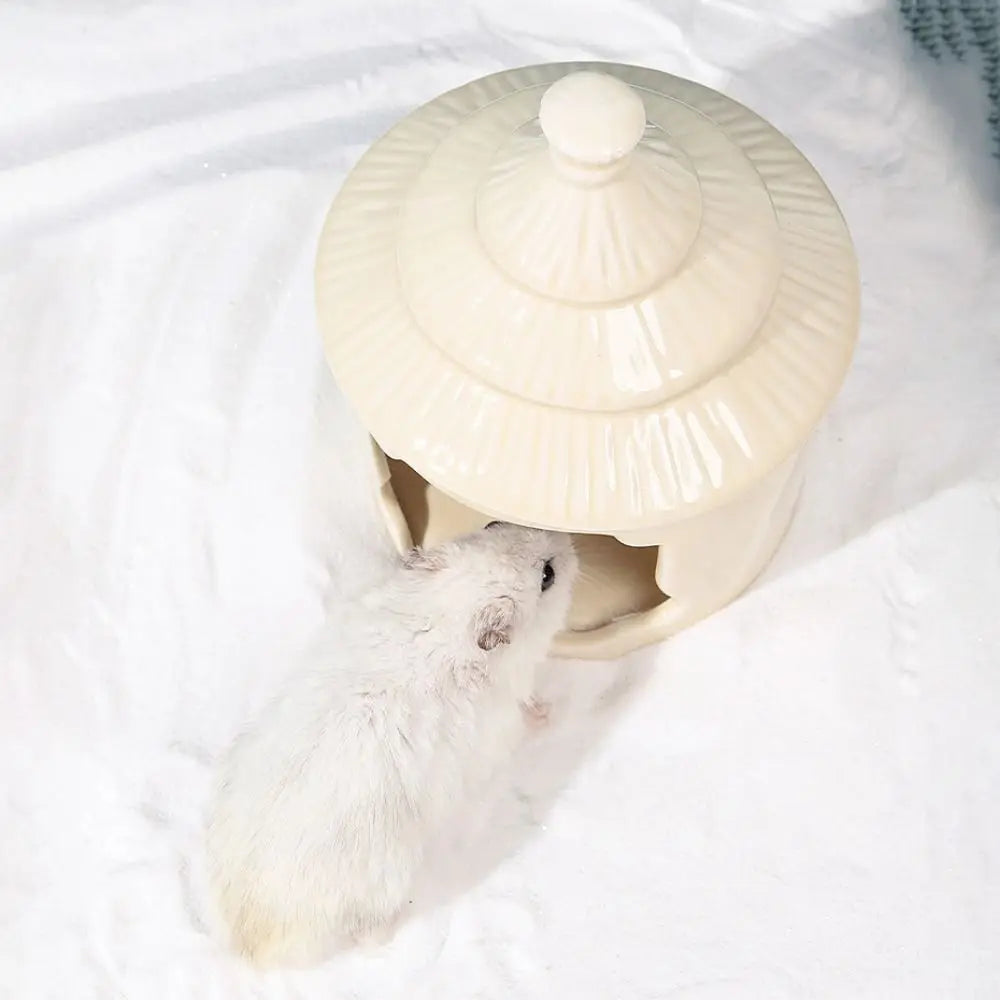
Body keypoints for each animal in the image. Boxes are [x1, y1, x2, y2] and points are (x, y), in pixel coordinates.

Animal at [205, 521, 577, 968]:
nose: (573, 540)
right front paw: (551, 712)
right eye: (547, 576)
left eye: (492, 524)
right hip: (387, 881)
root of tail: (251, 941)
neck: (444, 616)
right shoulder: (504, 722)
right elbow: (529, 715)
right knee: (369, 935)